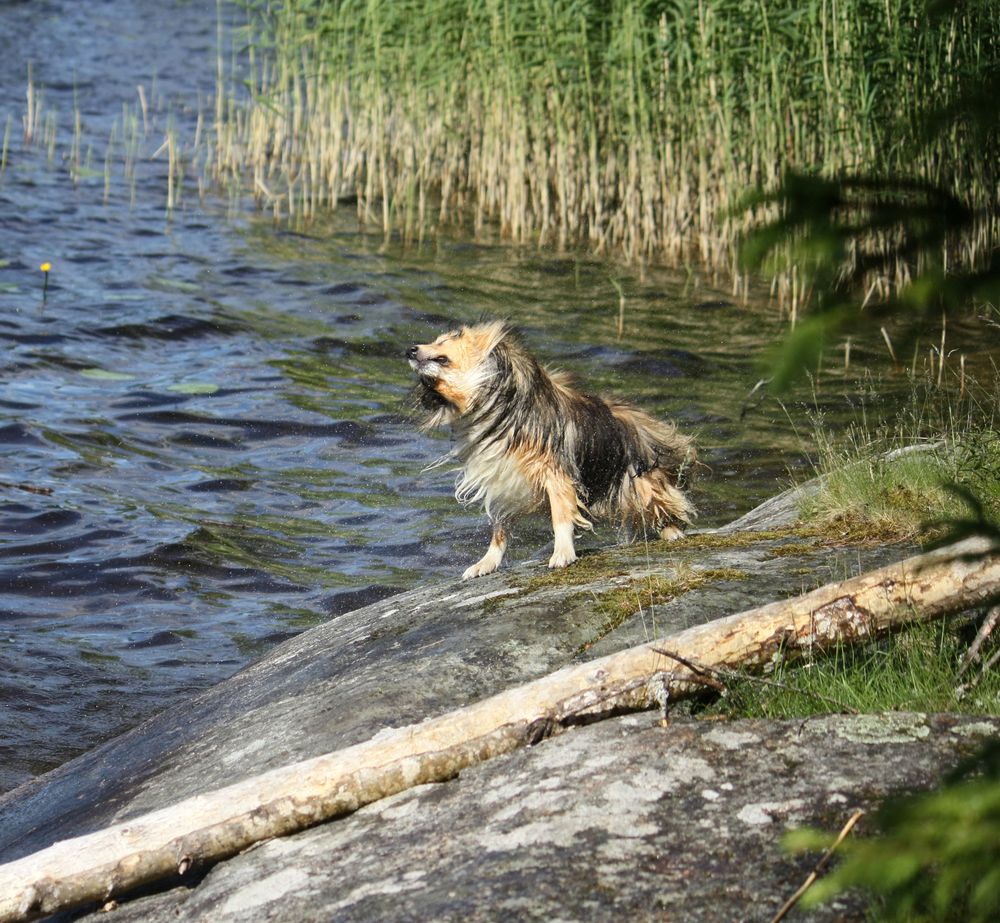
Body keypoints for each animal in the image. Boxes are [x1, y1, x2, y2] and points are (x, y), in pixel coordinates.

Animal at [406, 318, 696, 576]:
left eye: (444, 341)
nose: (410, 350)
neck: (494, 408)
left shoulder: (556, 474)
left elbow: (561, 516)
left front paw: (562, 554)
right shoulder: (502, 480)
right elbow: (499, 529)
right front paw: (486, 563)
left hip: (640, 481)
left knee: (662, 504)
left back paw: (673, 532)